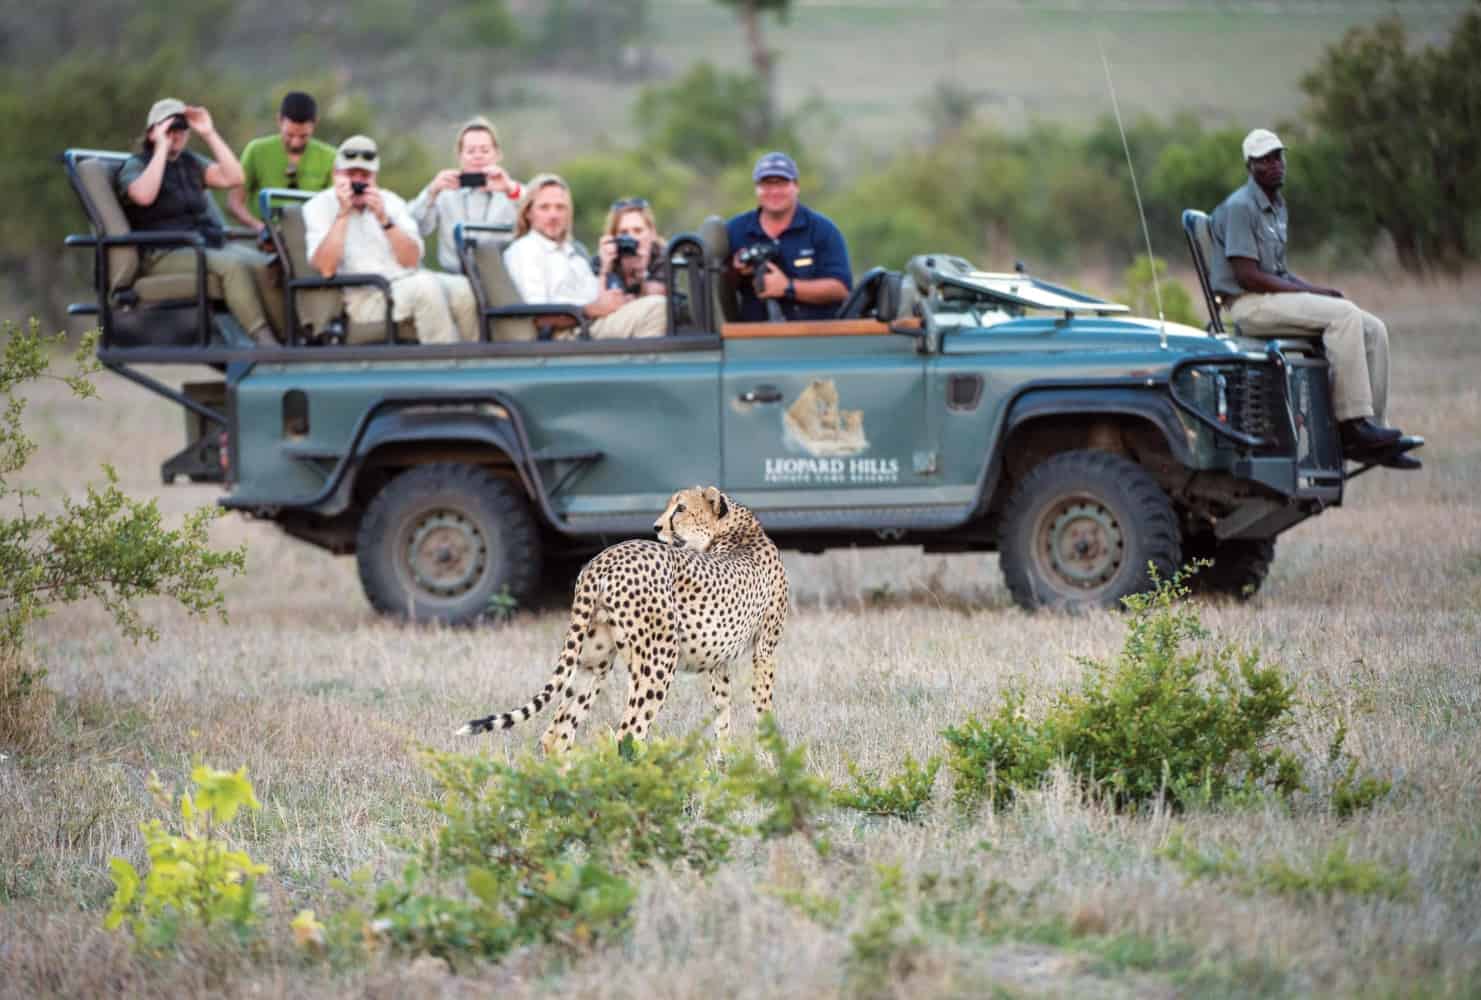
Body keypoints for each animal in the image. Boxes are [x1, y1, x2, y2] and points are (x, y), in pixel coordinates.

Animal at [456, 485, 789, 754]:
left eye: (681, 508)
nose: (656, 526)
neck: (736, 530)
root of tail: (603, 559)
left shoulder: (719, 662)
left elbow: (722, 714)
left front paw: (724, 767)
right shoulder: (765, 649)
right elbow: (763, 706)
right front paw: (771, 763)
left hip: (594, 660)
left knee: (558, 733)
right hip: (659, 659)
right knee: (628, 734)